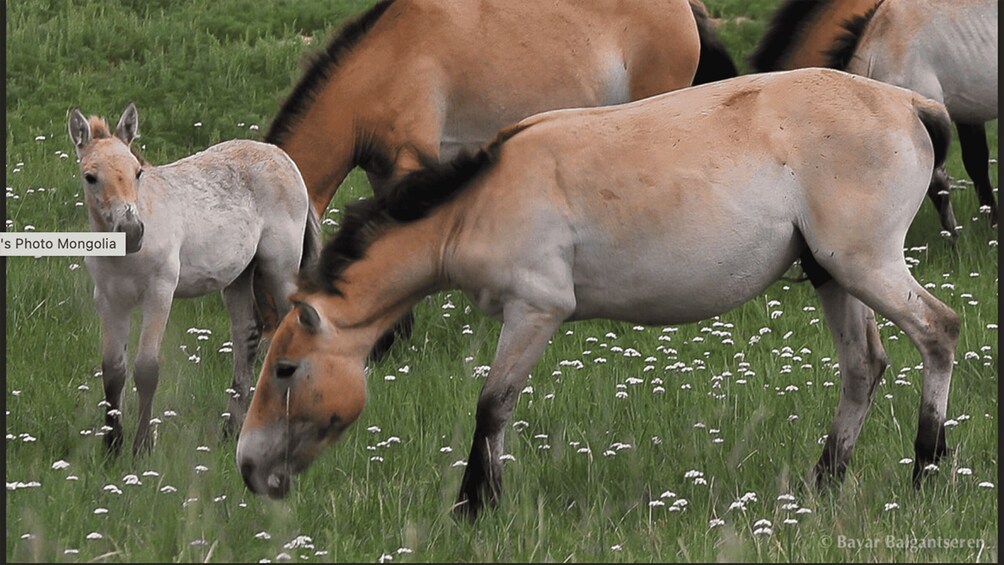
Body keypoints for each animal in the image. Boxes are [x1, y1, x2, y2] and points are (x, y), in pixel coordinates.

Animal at [67, 102, 317, 455]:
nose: (131, 231)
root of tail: (281, 157)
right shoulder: (108, 299)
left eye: (137, 172)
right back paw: (231, 431)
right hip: (239, 277)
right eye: (90, 177)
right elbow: (113, 370)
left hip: (281, 267)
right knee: (246, 335)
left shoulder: (159, 292)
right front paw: (111, 447)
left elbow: (146, 369)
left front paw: (142, 447)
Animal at [232, 68, 955, 517]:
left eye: (287, 369)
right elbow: (498, 410)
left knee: (939, 332)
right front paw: (484, 499)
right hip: (836, 278)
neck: (479, 201)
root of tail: (909, 103)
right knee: (863, 367)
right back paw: (823, 483)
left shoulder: (535, 311)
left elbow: (492, 405)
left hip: (865, 268)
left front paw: (473, 506)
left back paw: (927, 470)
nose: (247, 468)